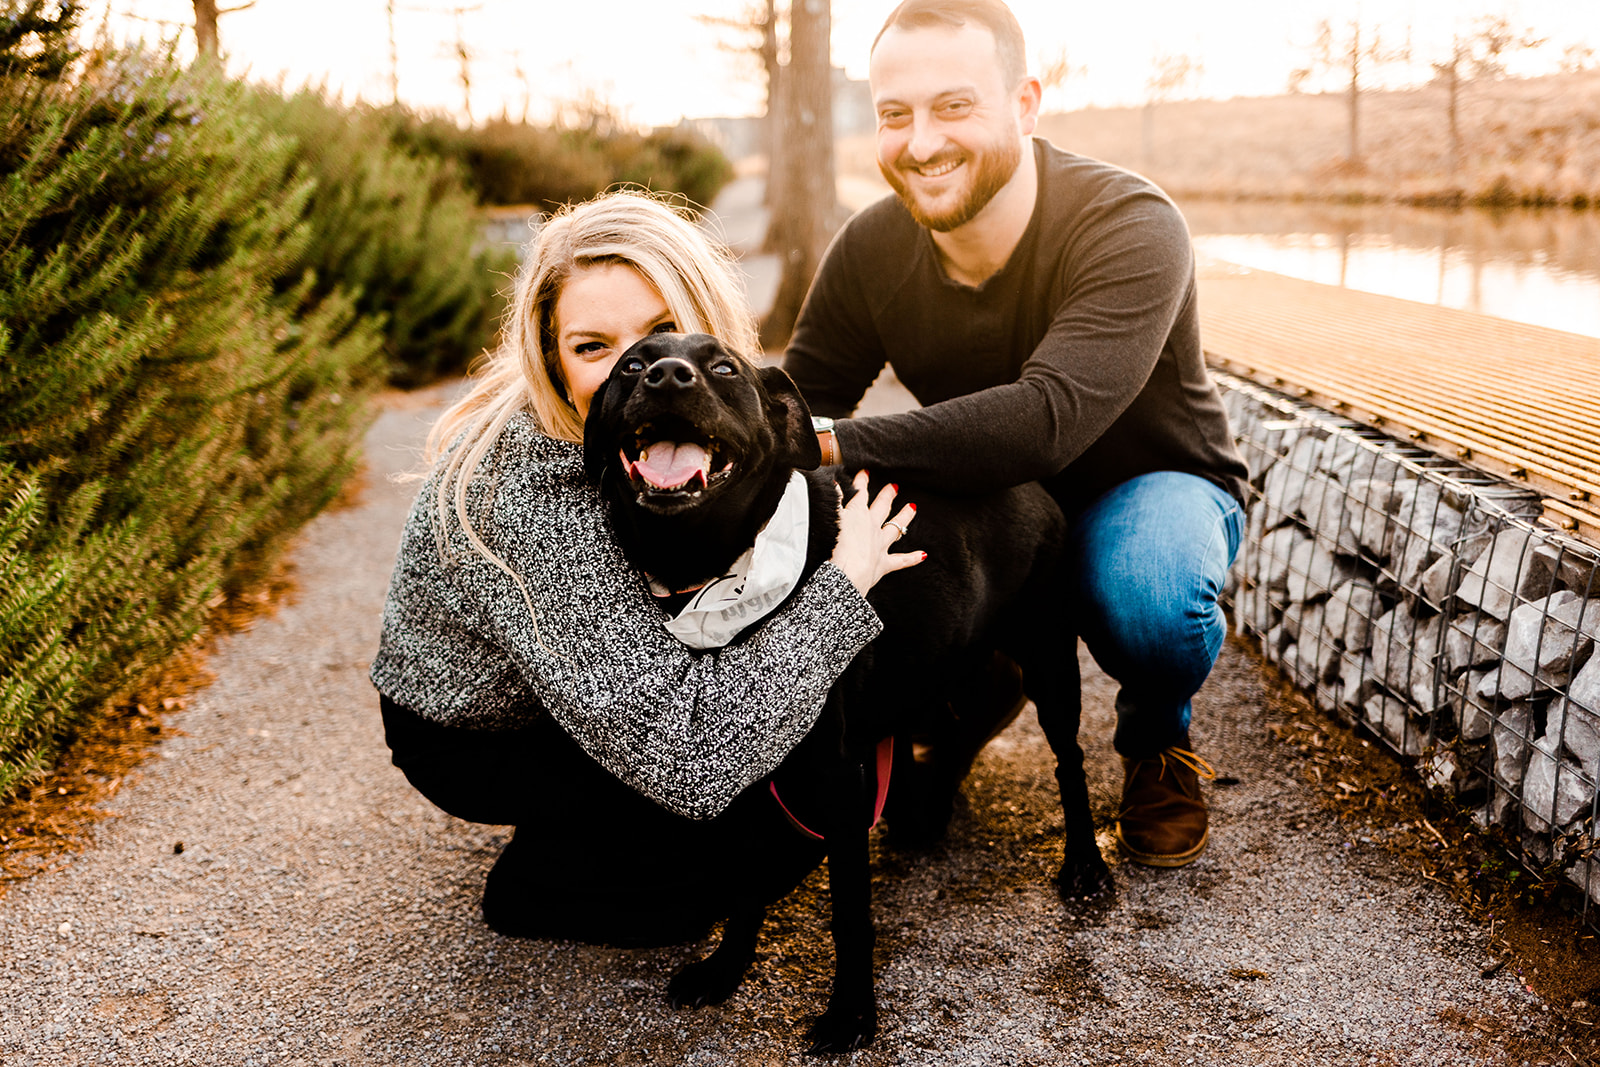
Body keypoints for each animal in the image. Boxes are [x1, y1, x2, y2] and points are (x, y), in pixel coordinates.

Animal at [585, 337, 1113, 1055]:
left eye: (724, 368)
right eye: (631, 367)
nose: (668, 376)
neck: (712, 571)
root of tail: (1031, 483)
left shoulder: (839, 778)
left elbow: (848, 911)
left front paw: (852, 1013)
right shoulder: (735, 774)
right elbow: (742, 878)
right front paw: (727, 966)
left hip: (1049, 661)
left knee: (1069, 762)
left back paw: (1085, 864)